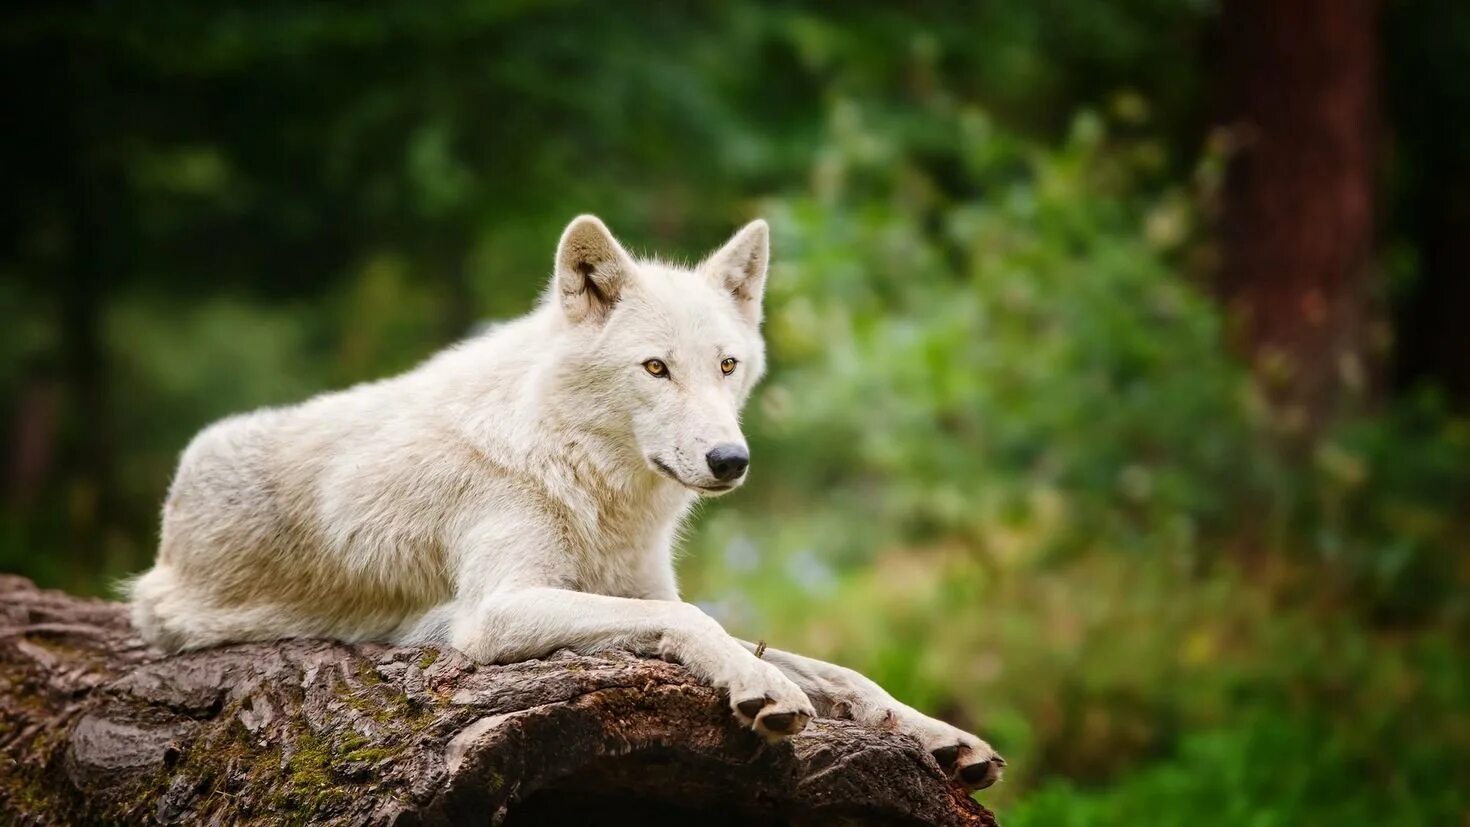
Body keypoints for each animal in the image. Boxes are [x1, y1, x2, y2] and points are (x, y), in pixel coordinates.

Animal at [126, 212, 1005, 787]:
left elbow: (837, 667)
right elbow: (698, 623)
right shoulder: (496, 612)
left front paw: (940, 734)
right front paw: (764, 689)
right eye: (655, 368)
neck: (579, 473)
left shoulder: (637, 585)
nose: (730, 459)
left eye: (726, 364)